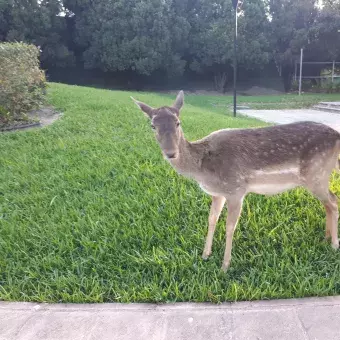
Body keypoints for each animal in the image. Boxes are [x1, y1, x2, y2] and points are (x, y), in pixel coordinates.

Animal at [131, 90, 340, 270]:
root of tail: (337, 136)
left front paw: (225, 265)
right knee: (328, 203)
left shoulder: (236, 189)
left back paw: (334, 245)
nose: (171, 153)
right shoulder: (217, 193)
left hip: (317, 173)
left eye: (178, 123)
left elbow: (230, 226)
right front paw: (205, 255)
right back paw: (326, 238)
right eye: (153, 125)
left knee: (333, 201)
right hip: (318, 177)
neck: (203, 170)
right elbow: (212, 219)